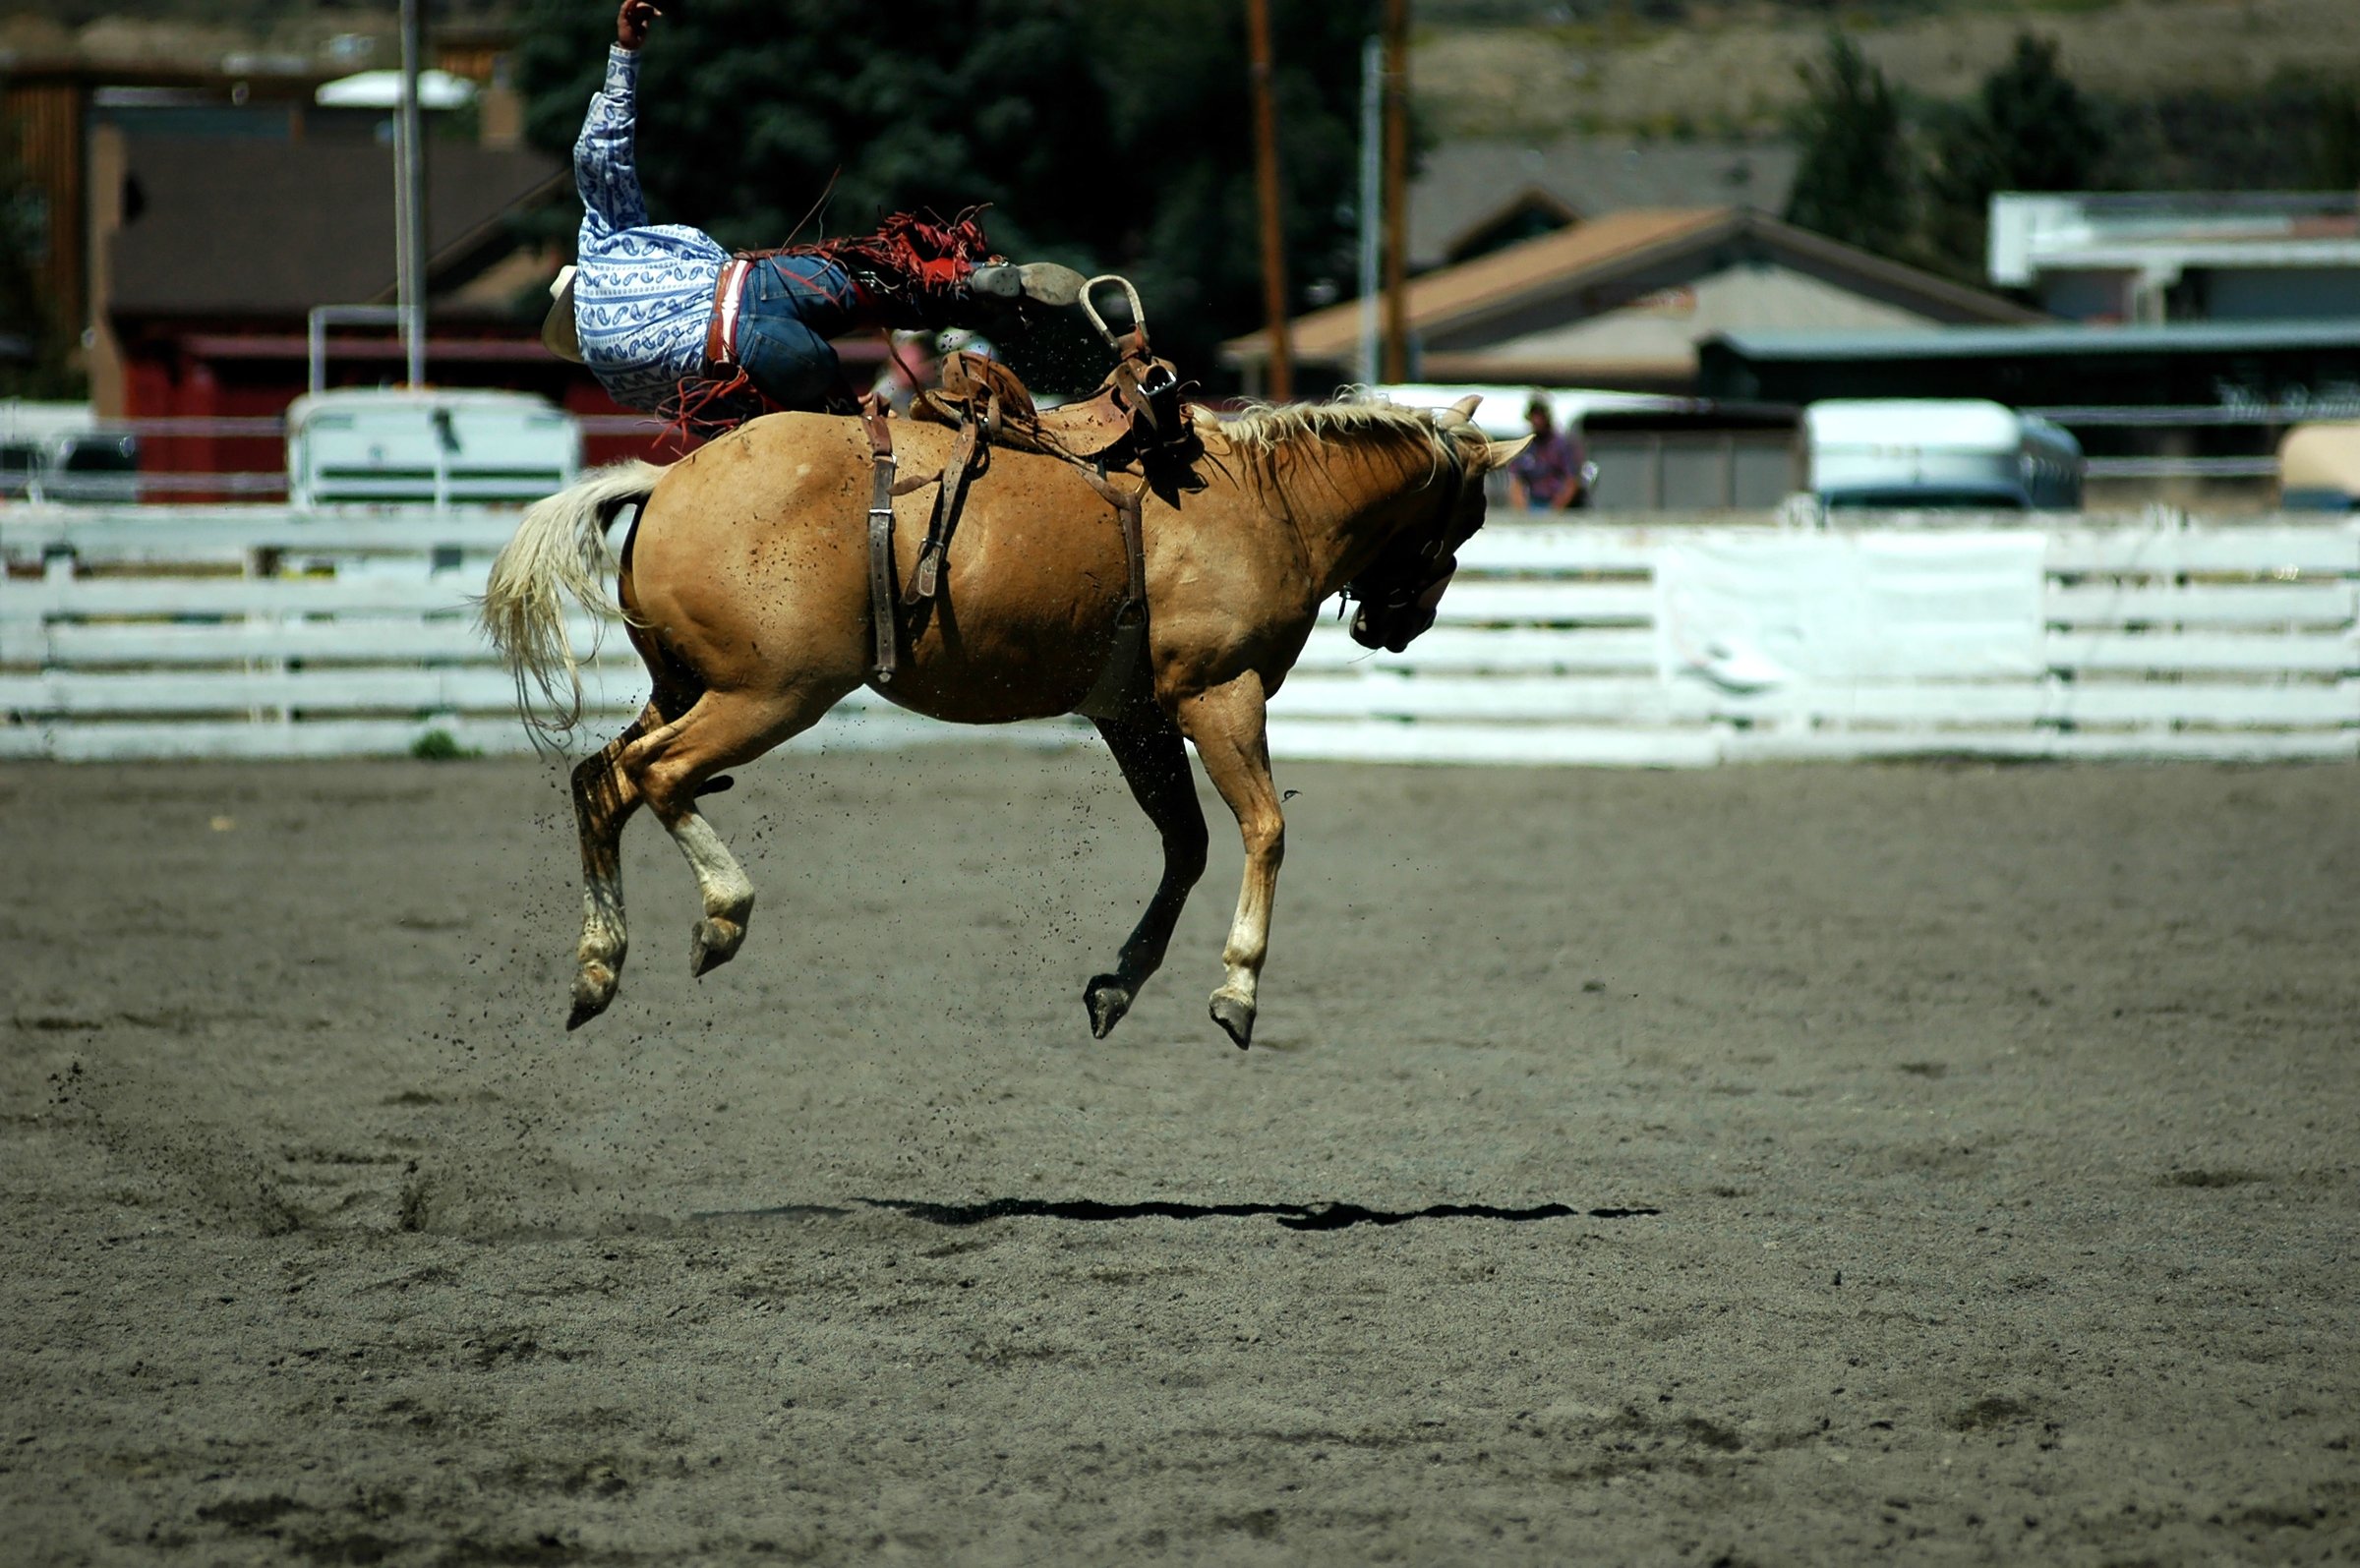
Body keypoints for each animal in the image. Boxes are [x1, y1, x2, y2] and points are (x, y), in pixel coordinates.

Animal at [479, 393, 1528, 1048]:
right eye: (1470, 518)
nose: (1404, 624)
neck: (1266, 502)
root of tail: (663, 484)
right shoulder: (1218, 695)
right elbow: (1264, 828)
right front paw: (1236, 987)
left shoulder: (1133, 715)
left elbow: (1186, 846)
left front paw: (1119, 984)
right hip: (766, 695)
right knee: (657, 776)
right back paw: (722, 914)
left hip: (686, 686)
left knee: (601, 781)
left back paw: (598, 968)